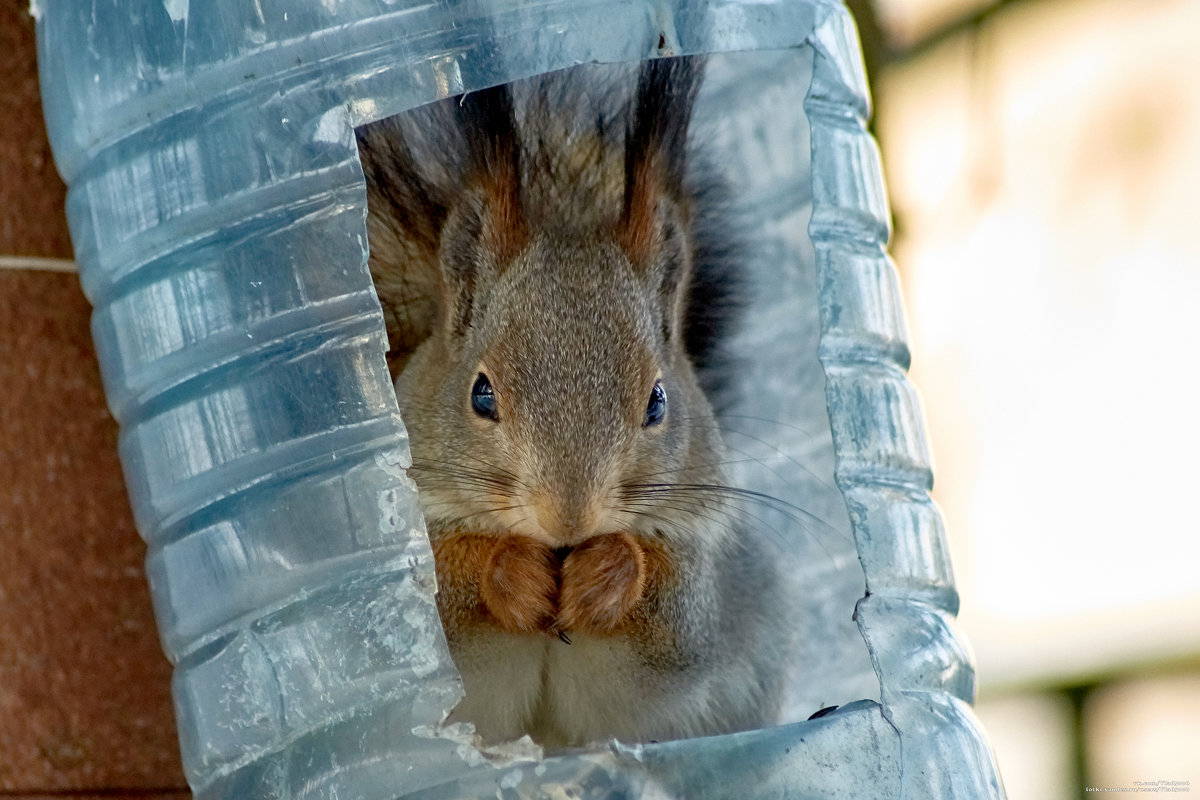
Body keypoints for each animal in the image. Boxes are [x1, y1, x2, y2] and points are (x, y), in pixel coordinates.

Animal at [350, 56, 792, 753]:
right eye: (481, 393)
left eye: (658, 401)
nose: (568, 520)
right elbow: (445, 598)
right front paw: (511, 571)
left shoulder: (706, 568)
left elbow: (679, 615)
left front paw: (608, 573)